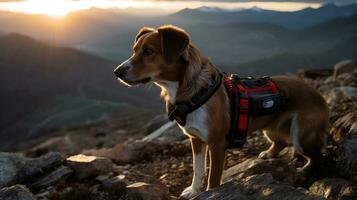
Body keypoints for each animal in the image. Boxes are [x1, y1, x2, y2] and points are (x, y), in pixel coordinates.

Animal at [114, 25, 328, 198]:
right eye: (134, 50)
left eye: (149, 51)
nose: (117, 72)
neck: (190, 92)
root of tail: (319, 96)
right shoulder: (196, 139)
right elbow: (198, 169)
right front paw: (193, 191)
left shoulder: (217, 144)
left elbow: (213, 178)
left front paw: (209, 193)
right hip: (271, 128)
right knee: (281, 141)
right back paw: (269, 154)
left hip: (301, 135)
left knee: (318, 157)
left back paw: (305, 170)